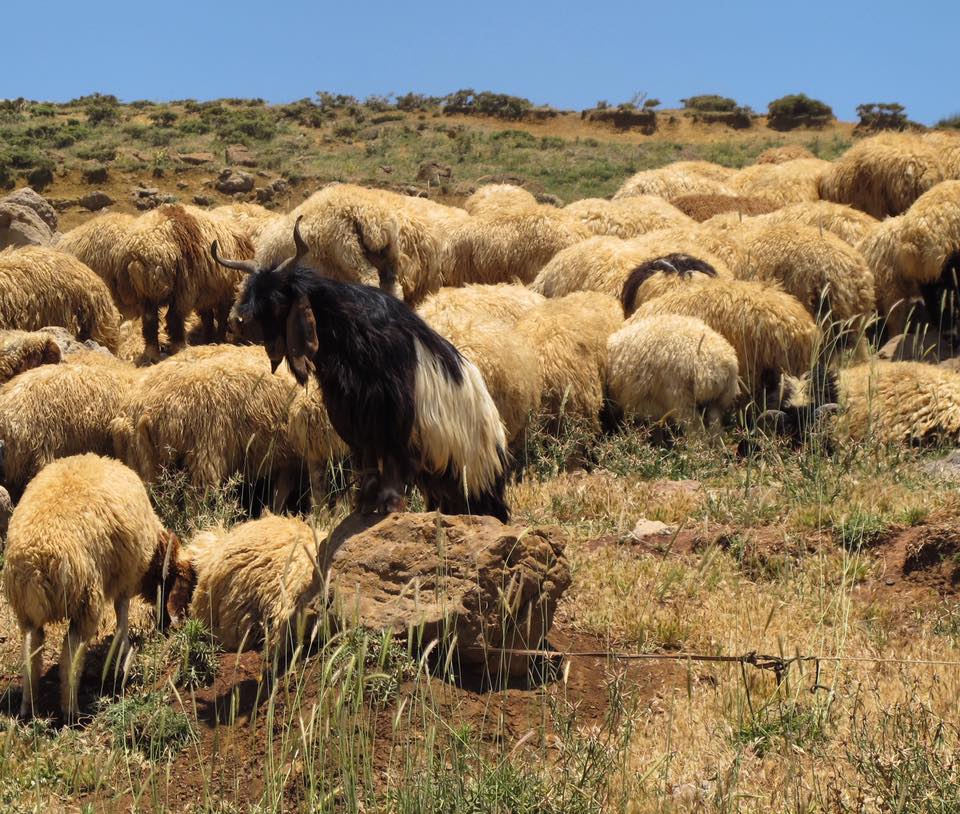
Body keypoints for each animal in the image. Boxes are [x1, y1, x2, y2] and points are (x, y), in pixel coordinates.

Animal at [3, 454, 187, 720]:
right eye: (170, 580)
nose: (166, 625)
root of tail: (37, 562)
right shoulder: (125, 580)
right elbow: (122, 617)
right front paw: (124, 652)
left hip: (27, 611)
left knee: (30, 651)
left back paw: (29, 706)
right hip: (85, 600)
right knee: (71, 653)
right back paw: (72, 710)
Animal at [110, 344, 305, 512]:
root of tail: (140, 411)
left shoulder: (288, 461)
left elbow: (281, 492)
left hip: (142, 459)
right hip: (205, 453)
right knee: (195, 502)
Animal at [118, 204, 255, 361]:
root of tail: (143, 252)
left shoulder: (208, 294)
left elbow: (209, 318)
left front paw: (209, 340)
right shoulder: (223, 293)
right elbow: (220, 318)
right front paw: (218, 340)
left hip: (146, 293)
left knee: (150, 321)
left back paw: (152, 354)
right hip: (183, 287)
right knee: (174, 318)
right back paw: (180, 348)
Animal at [217, 218, 510, 521]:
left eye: (279, 304)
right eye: (256, 311)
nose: (272, 348)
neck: (349, 330)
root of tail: (496, 460)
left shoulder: (391, 413)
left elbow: (390, 460)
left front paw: (390, 504)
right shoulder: (352, 412)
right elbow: (368, 460)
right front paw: (364, 505)